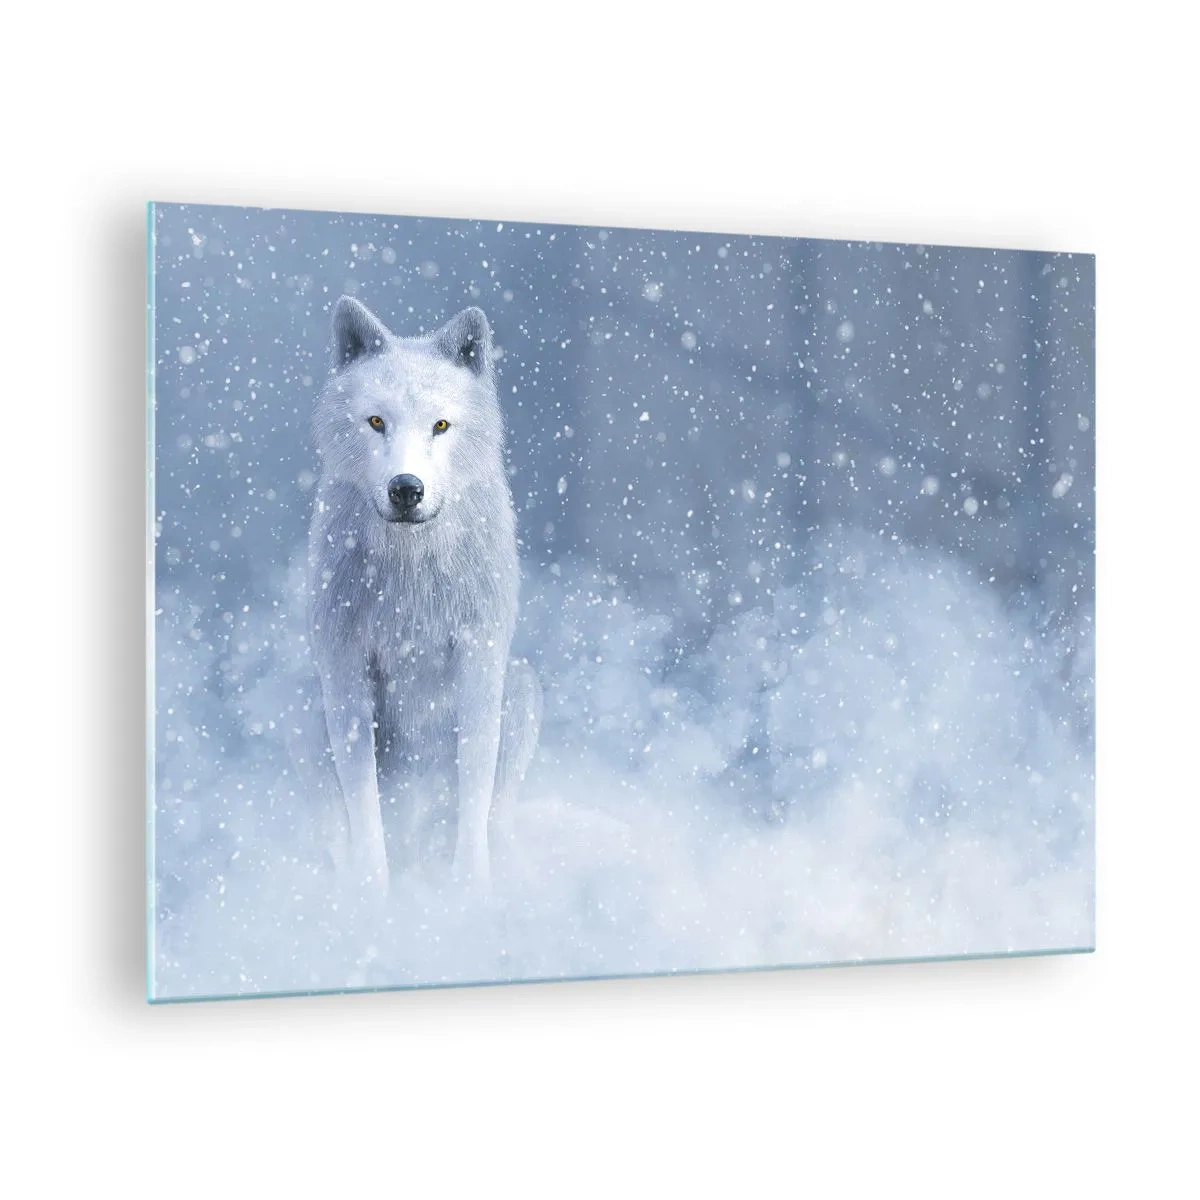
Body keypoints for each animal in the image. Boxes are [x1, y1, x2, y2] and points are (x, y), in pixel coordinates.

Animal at [304, 296, 541, 892]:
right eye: (376, 422)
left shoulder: (480, 658)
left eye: (440, 425)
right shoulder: (344, 664)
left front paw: (469, 892)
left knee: (496, 812)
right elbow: (362, 797)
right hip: (304, 702)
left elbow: (474, 782)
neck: (409, 575)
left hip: (522, 687)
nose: (406, 489)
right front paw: (373, 895)